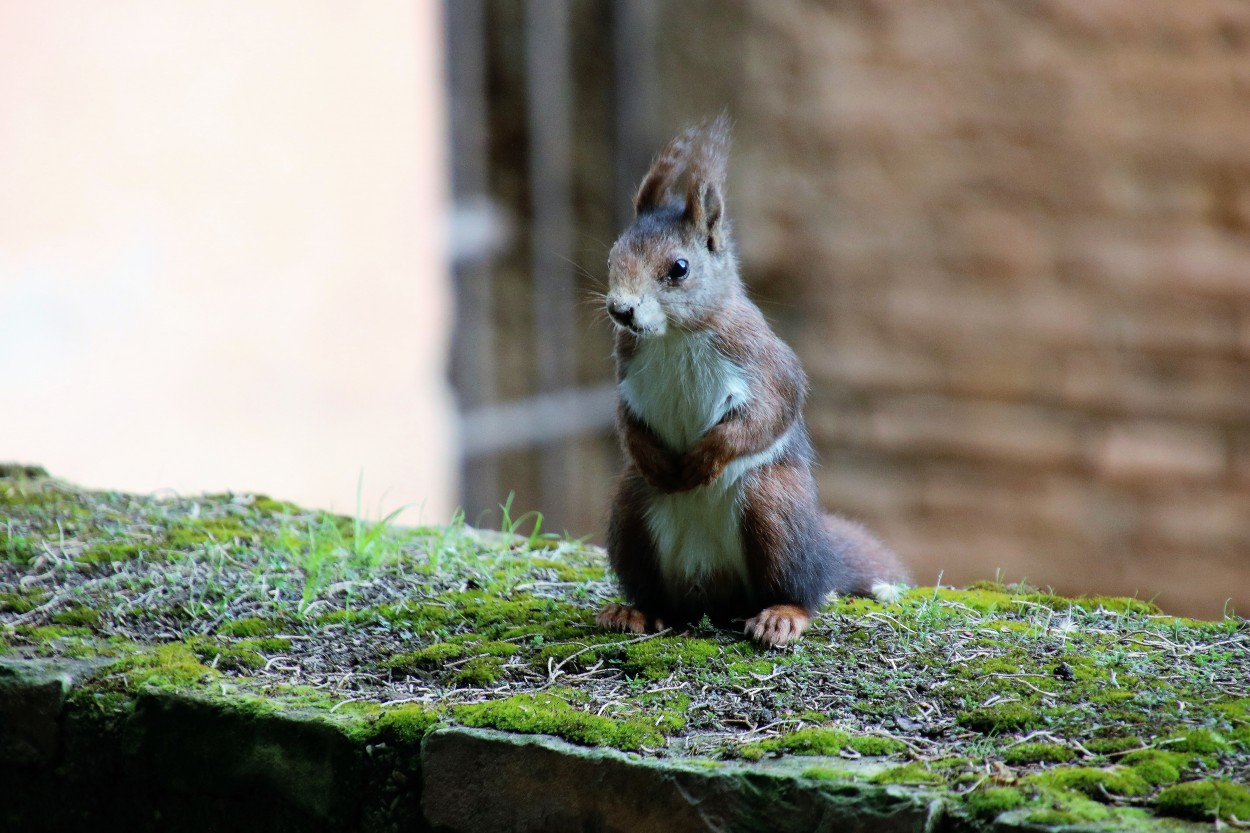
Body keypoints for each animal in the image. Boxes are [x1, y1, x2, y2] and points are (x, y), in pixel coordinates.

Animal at [595, 118, 910, 650]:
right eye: (613, 255)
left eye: (678, 268)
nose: (622, 310)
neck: (674, 336)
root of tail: (710, 590)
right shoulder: (627, 373)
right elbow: (626, 421)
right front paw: (656, 457)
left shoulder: (760, 362)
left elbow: (769, 412)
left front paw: (706, 457)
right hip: (632, 511)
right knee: (657, 594)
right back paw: (635, 610)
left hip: (772, 507)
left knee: (801, 588)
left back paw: (782, 615)